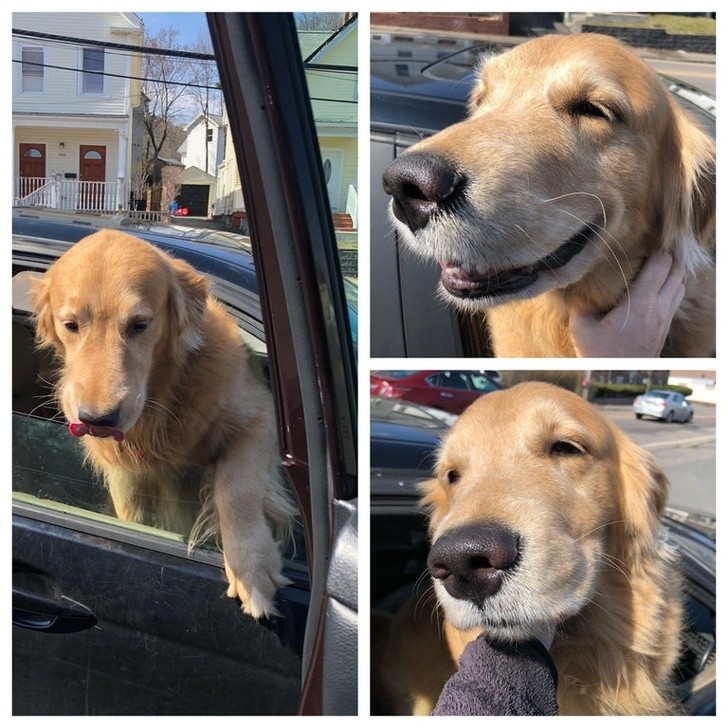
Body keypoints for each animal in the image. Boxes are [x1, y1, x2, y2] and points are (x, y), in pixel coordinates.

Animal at [32, 230, 296, 616]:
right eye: (71, 326)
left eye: (140, 325)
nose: (97, 420)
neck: (163, 399)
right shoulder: (126, 481)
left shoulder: (260, 415)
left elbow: (236, 486)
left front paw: (252, 567)